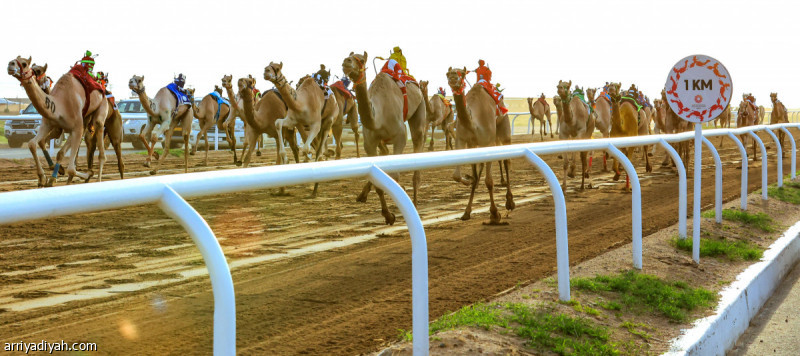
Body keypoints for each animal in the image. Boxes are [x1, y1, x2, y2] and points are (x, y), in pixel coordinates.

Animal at [8, 55, 107, 186]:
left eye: (24, 64)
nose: (10, 64)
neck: (60, 105)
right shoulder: (48, 124)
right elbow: (32, 143)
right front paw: (43, 178)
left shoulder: (76, 128)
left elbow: (71, 169)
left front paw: (88, 174)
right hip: (85, 119)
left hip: (101, 108)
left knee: (101, 151)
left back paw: (97, 179)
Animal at [342, 51, 432, 224]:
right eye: (348, 57)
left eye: (361, 60)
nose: (346, 62)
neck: (378, 117)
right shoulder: (370, 143)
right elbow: (379, 182)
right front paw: (388, 215)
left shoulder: (400, 136)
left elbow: (395, 176)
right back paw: (363, 195)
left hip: (420, 107)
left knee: (418, 141)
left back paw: (415, 204)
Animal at [446, 66, 516, 222]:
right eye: (447, 73)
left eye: (462, 73)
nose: (453, 77)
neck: (473, 124)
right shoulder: (463, 141)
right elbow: (456, 175)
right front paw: (466, 211)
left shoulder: (488, 142)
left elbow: (489, 181)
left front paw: (495, 214)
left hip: (504, 128)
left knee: (507, 161)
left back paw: (510, 202)